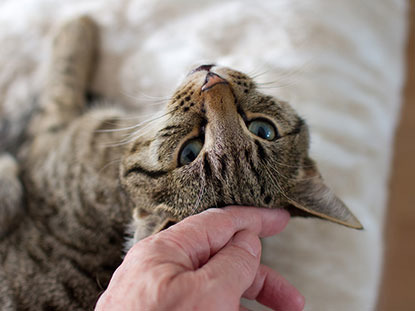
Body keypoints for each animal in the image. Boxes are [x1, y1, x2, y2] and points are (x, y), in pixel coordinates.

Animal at [0, 15, 360, 310]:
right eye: (264, 129)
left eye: (189, 151)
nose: (213, 81)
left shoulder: (50, 135)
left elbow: (62, 75)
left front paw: (79, 25)